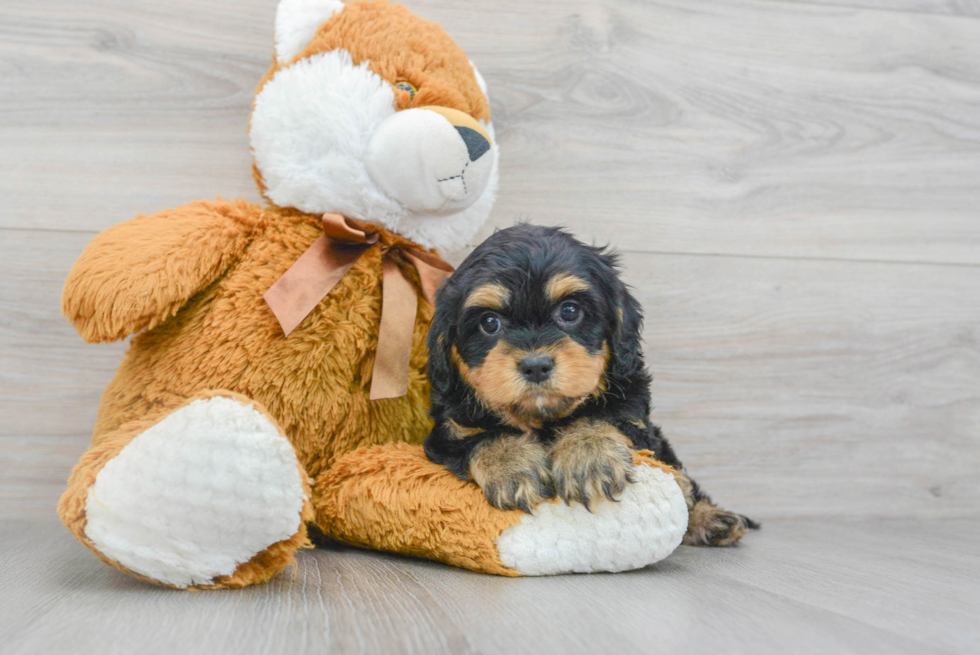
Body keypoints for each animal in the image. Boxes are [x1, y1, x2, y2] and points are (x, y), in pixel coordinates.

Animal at [424, 226, 756, 548]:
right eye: (489, 323)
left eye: (570, 311)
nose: (535, 365)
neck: (543, 418)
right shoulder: (449, 431)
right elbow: (481, 437)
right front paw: (511, 465)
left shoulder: (634, 416)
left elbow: (600, 417)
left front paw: (589, 457)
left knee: (683, 481)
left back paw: (713, 520)